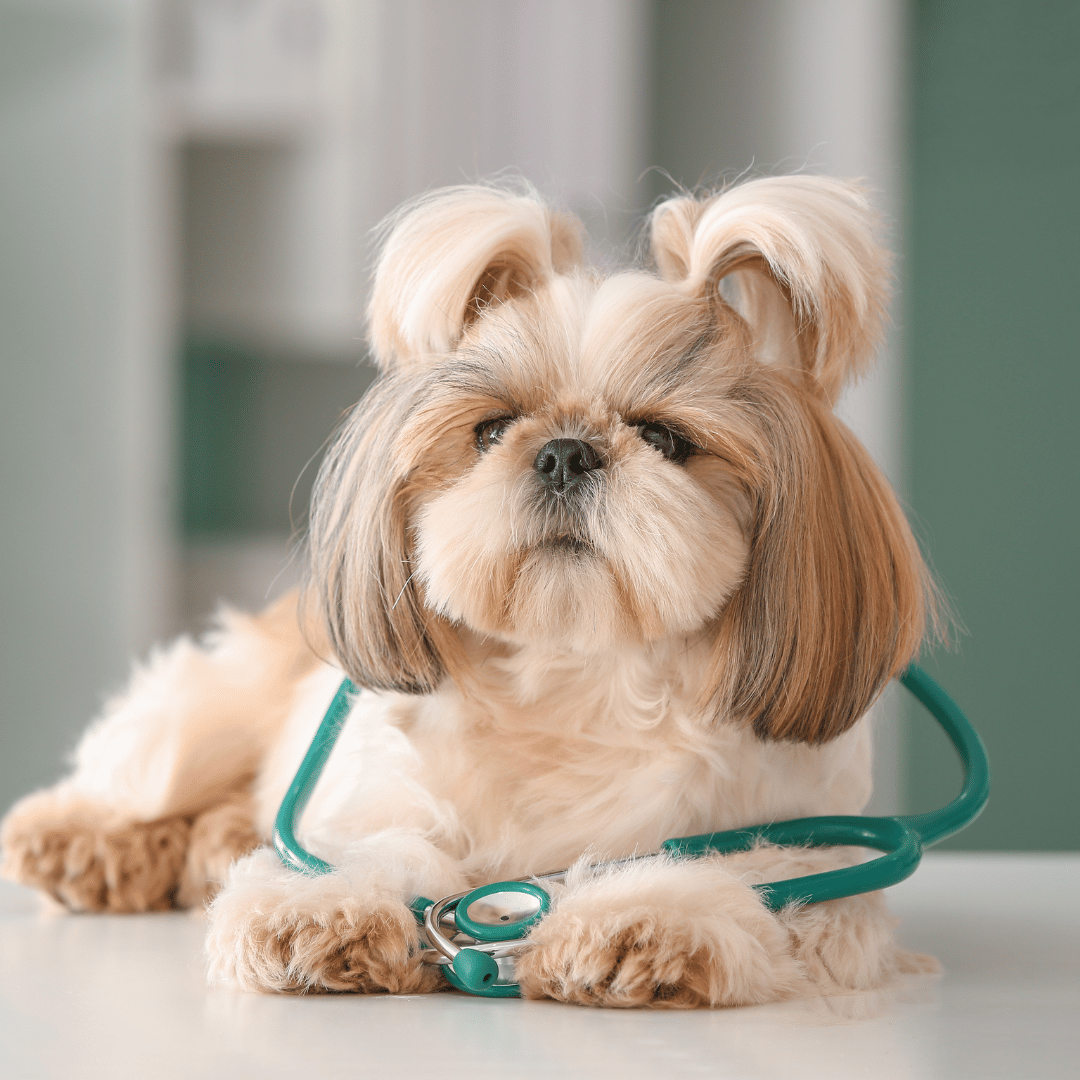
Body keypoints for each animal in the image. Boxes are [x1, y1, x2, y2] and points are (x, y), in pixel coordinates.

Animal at [0, 172, 937, 1006]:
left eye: (667, 439)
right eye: (491, 430)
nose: (564, 452)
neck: (575, 679)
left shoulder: (814, 856)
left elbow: (758, 875)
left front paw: (642, 920)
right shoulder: (381, 797)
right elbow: (383, 849)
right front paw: (328, 912)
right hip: (210, 710)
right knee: (152, 767)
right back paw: (91, 842)